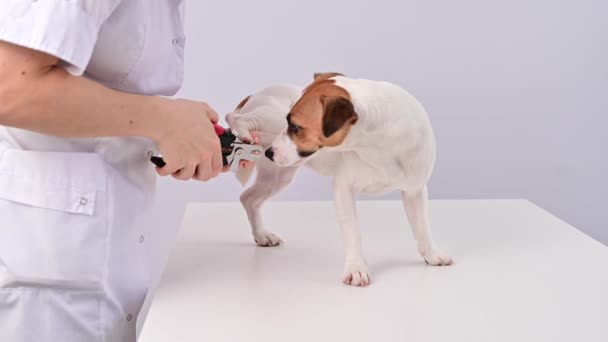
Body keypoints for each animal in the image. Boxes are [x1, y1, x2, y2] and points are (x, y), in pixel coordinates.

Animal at [224, 73, 452, 288]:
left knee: (249, 198)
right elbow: (353, 232)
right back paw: (242, 128)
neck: (379, 141)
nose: (271, 152)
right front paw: (356, 268)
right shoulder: (344, 190)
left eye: (295, 127)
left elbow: (422, 226)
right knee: (234, 117)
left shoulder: (415, 191)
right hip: (268, 118)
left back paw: (261, 234)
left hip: (278, 175)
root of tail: (254, 95)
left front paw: (432, 255)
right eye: (290, 123)